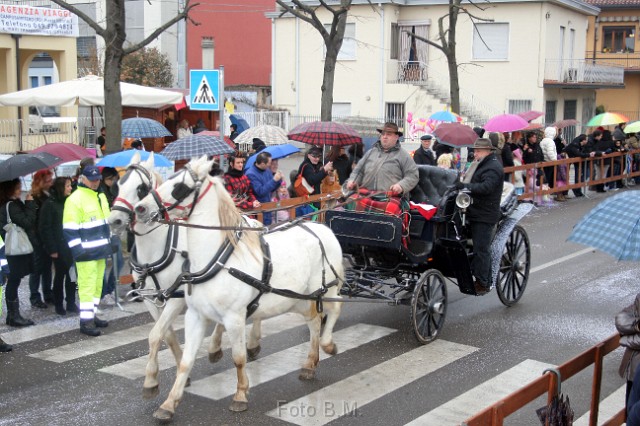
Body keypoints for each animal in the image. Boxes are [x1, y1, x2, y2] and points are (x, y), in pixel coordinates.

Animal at [107, 153, 262, 400]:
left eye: (140, 188)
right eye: (117, 185)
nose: (115, 221)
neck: (157, 247)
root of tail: (249, 220)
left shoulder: (176, 298)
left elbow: (155, 335)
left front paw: (150, 380)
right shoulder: (151, 299)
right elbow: (165, 335)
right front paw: (177, 371)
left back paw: (252, 342)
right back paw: (215, 347)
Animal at [135, 156, 344, 420]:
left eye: (179, 187)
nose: (140, 209)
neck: (217, 259)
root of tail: (324, 229)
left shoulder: (234, 317)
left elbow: (238, 357)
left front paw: (240, 395)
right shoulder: (196, 316)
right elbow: (186, 361)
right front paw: (169, 404)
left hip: (327, 289)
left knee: (334, 310)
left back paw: (328, 344)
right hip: (300, 298)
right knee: (314, 321)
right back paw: (310, 364)